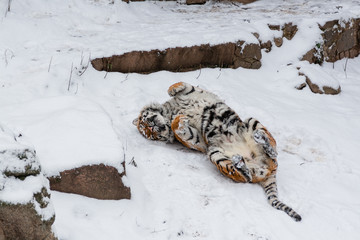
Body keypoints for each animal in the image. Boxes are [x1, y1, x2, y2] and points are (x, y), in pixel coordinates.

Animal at [132, 81, 300, 221]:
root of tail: (270, 171)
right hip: (215, 153)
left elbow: (180, 85)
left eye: (146, 122)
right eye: (150, 134)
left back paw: (261, 141)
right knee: (245, 176)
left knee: (272, 149)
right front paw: (179, 121)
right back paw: (240, 164)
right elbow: (181, 129)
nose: (153, 127)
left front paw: (174, 93)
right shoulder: (200, 142)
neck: (169, 112)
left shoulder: (196, 92)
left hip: (250, 121)